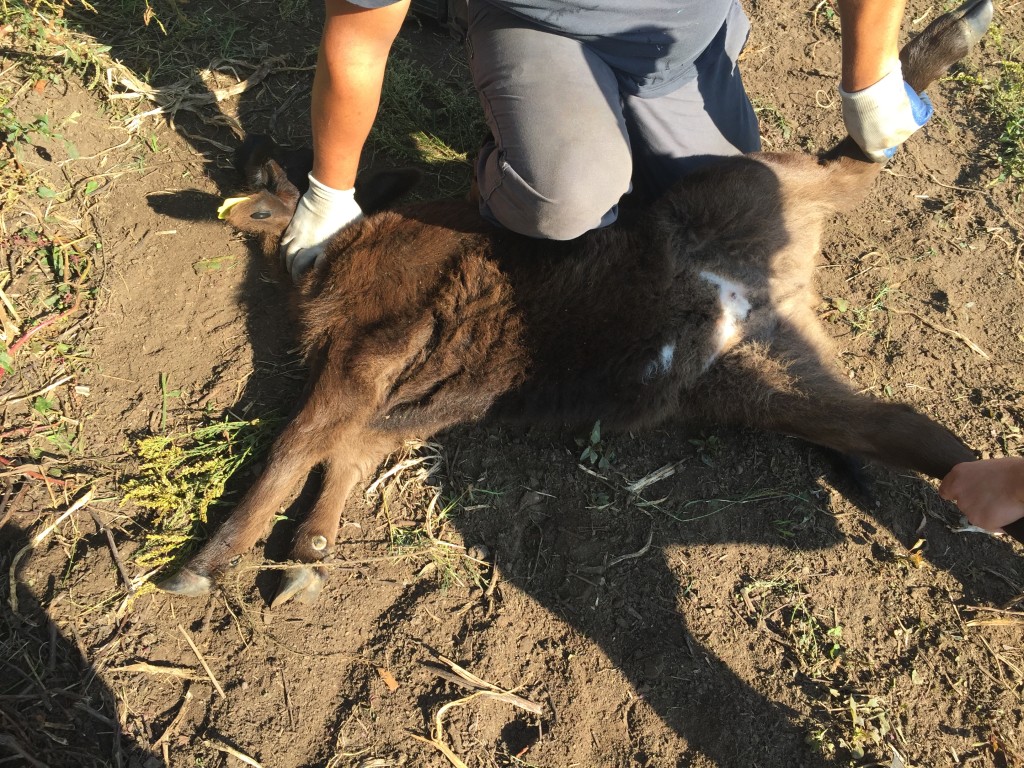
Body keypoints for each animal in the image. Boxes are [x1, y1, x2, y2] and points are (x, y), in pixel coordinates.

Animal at [161, 0, 1015, 606]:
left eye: (277, 180)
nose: (250, 155)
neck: (349, 246)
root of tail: (762, 291)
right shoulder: (399, 395)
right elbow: (343, 453)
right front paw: (306, 554)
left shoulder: (372, 348)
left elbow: (292, 448)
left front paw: (202, 563)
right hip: (763, 380)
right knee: (902, 424)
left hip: (750, 189)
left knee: (856, 161)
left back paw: (935, 52)